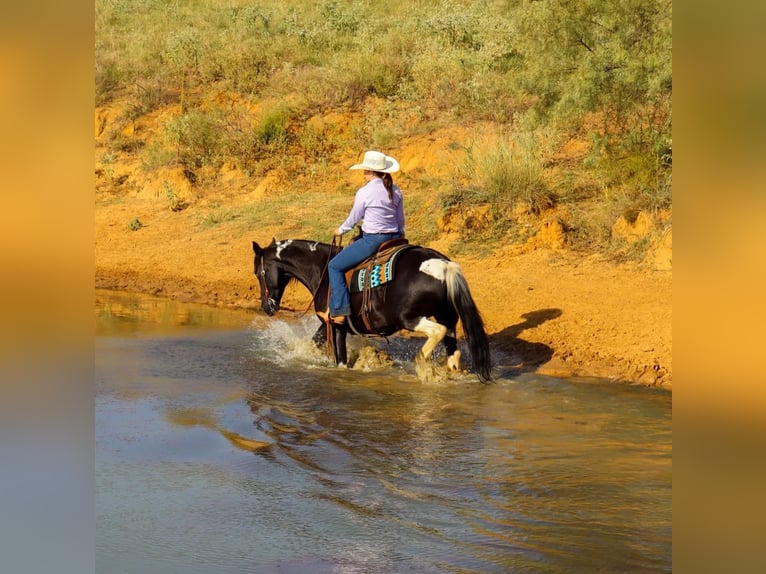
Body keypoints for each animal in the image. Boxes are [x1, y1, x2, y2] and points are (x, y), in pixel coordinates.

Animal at [252, 238, 492, 382]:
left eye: (258, 273)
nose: (267, 306)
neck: (322, 270)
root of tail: (444, 266)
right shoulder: (328, 324)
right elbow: (315, 342)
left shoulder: (336, 325)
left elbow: (340, 362)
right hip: (447, 316)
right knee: (453, 352)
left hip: (409, 318)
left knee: (437, 331)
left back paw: (421, 361)